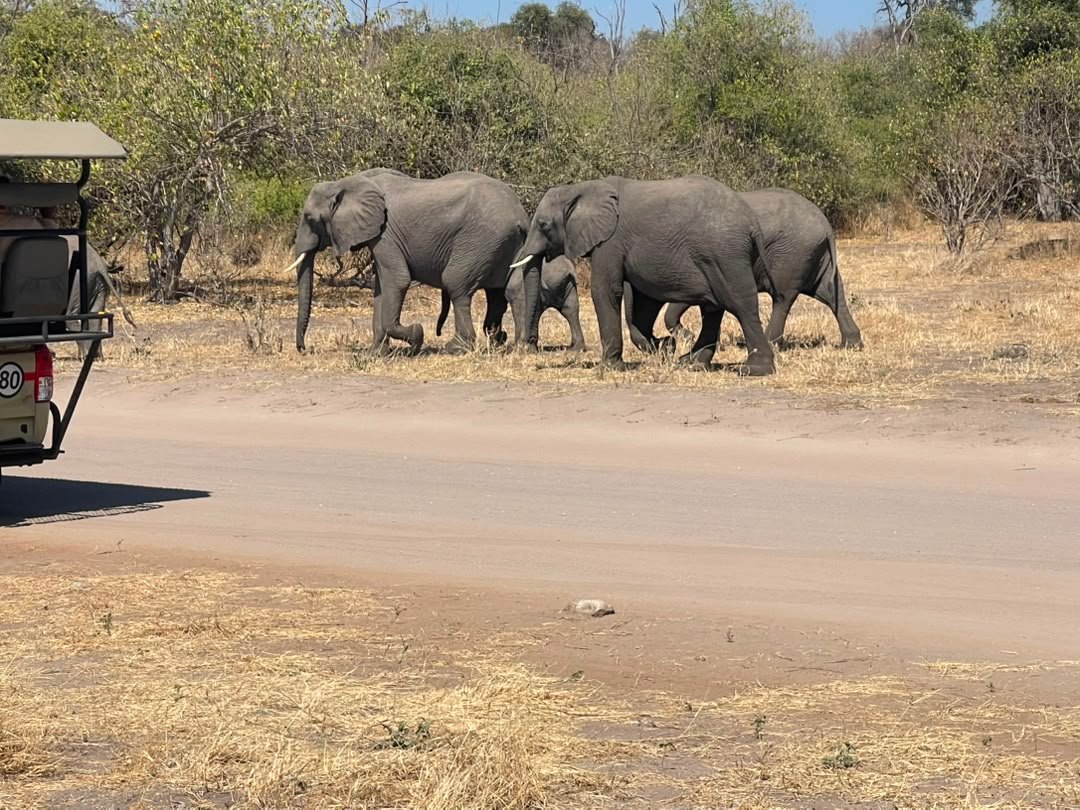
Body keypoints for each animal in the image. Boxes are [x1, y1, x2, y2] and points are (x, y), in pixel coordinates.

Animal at [288, 168, 541, 355]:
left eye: (310, 218)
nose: (303, 349)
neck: (349, 181)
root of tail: (521, 215)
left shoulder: (386, 234)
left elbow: (397, 281)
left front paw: (417, 337)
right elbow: (380, 289)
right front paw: (375, 354)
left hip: (481, 240)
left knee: (456, 285)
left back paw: (457, 347)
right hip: (507, 243)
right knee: (511, 289)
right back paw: (517, 345)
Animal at [436, 255, 586, 351]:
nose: (438, 333)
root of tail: (570, 269)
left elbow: (499, 301)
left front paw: (498, 339)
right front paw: (498, 339)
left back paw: (522, 347)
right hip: (567, 286)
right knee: (570, 309)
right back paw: (576, 348)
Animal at [513, 176, 776, 375]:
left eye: (544, 225)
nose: (528, 345)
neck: (581, 189)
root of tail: (752, 224)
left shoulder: (610, 241)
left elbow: (606, 290)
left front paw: (610, 367)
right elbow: (643, 302)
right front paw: (665, 348)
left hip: (725, 255)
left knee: (740, 305)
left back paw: (754, 370)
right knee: (713, 309)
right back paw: (690, 363)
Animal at [625, 188, 863, 354]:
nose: (660, 344)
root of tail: (825, 224)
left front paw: (690, 338)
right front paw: (691, 338)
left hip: (792, 254)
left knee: (783, 297)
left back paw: (769, 343)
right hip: (813, 255)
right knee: (831, 293)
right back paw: (851, 345)